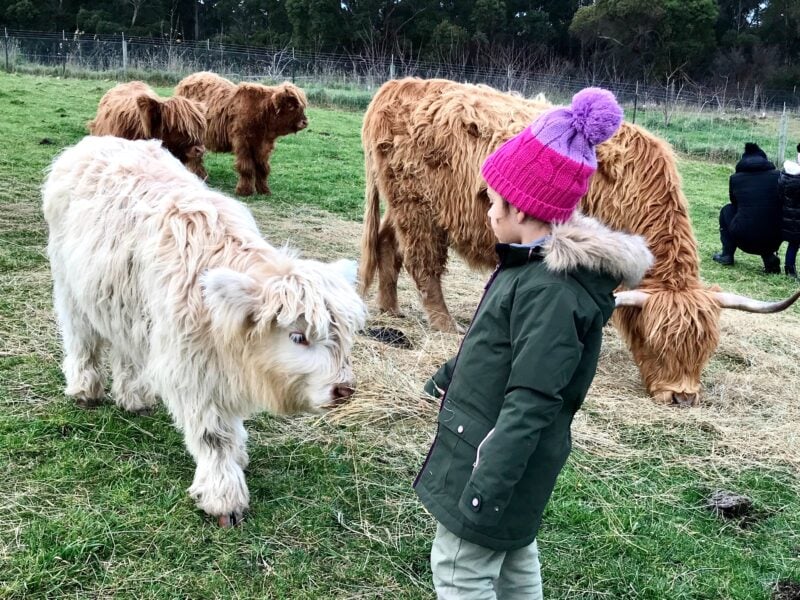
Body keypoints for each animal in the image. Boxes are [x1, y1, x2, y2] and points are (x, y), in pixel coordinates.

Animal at [43, 136, 367, 527]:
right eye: (298, 337)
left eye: (344, 336)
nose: (343, 389)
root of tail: (93, 142)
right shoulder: (191, 371)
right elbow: (212, 436)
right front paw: (223, 497)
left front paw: (239, 453)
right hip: (70, 288)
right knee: (82, 341)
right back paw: (84, 390)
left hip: (124, 305)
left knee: (126, 350)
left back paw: (134, 397)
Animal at [175, 71, 308, 196]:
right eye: (290, 106)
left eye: (301, 106)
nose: (305, 122)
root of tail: (187, 79)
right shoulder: (243, 142)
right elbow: (246, 168)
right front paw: (244, 191)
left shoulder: (264, 146)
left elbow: (263, 168)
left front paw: (264, 190)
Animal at [359, 78, 800, 406]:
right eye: (655, 342)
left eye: (705, 348)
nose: (682, 397)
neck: (636, 193)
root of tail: (400, 85)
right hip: (418, 208)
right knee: (423, 264)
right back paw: (445, 325)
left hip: (401, 205)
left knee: (387, 245)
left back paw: (391, 308)